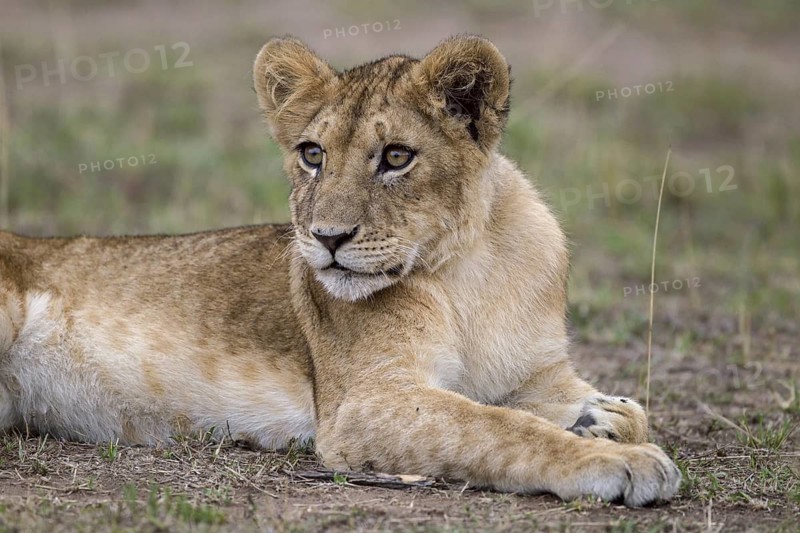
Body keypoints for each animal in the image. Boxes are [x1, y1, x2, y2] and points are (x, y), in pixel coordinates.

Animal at [0, 35, 680, 507]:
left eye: (397, 157)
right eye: (312, 154)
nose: (328, 238)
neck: (470, 269)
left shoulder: (537, 370)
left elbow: (621, 408)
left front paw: (601, 419)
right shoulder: (366, 403)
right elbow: (500, 428)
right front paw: (620, 461)